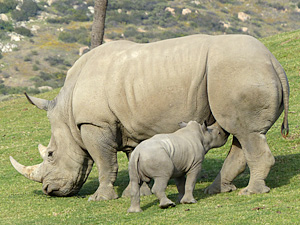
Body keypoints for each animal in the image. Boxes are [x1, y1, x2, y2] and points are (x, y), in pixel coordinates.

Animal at [9, 33, 288, 200]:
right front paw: (138, 194)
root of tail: (273, 60)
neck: (66, 111)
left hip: (240, 71)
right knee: (242, 134)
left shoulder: (94, 123)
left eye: (51, 155)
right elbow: (133, 156)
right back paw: (218, 190)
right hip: (242, 71)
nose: (49, 190)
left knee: (247, 133)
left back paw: (251, 193)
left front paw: (100, 198)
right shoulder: (129, 124)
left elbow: (104, 161)